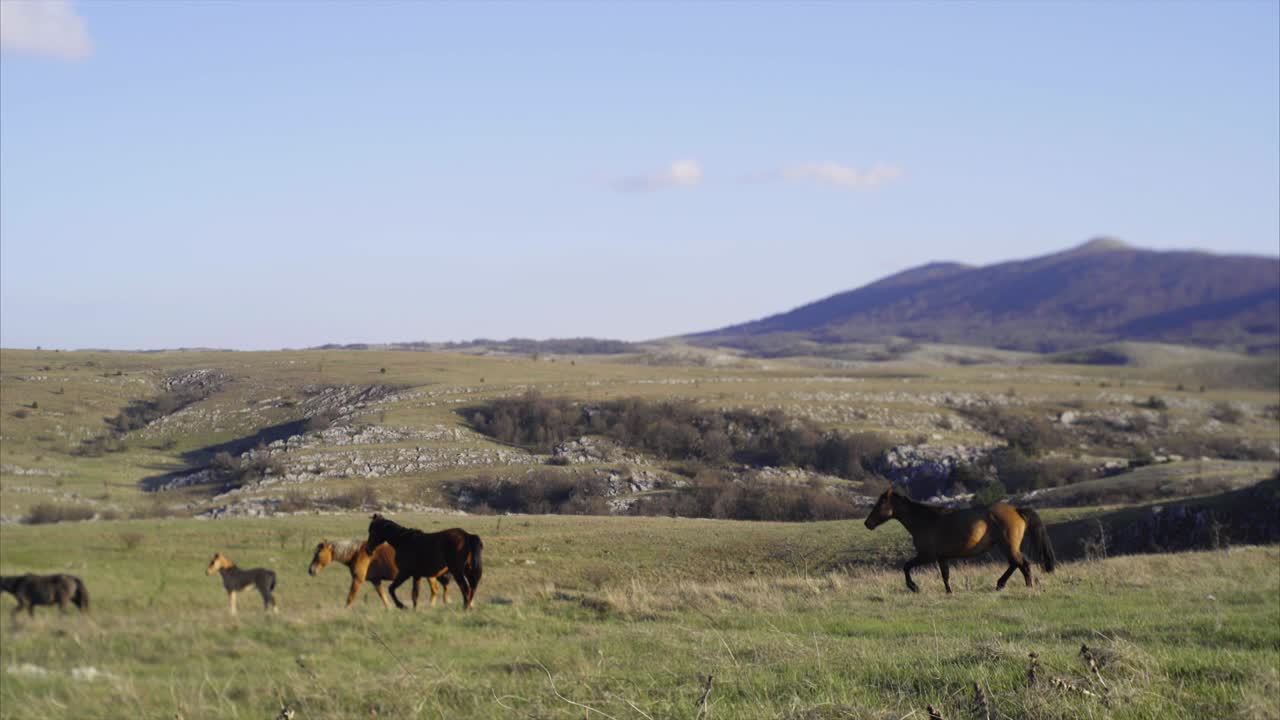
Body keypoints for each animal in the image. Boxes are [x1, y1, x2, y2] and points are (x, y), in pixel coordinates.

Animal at [308, 539, 451, 609]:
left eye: (318, 554)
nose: (310, 570)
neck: (357, 553)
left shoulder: (357, 580)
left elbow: (350, 597)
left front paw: (345, 610)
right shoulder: (376, 581)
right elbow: (383, 596)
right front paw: (390, 608)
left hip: (431, 576)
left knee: (435, 590)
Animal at [863, 487, 1057, 593]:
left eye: (881, 503)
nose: (867, 523)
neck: (926, 520)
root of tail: (1016, 510)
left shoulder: (926, 555)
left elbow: (906, 567)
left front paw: (914, 587)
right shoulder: (942, 557)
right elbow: (945, 576)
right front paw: (949, 592)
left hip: (1008, 546)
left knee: (1022, 564)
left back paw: (1025, 586)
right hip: (1006, 546)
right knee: (1016, 564)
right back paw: (1002, 584)